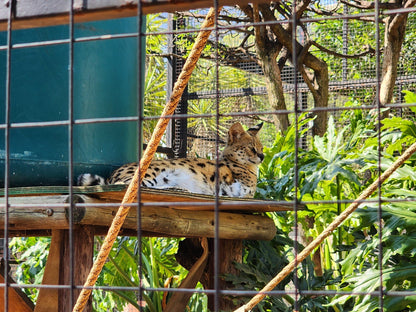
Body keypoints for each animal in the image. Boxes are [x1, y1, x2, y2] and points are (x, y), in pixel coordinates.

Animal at [79, 122, 264, 197]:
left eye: (262, 148)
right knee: (128, 186)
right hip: (150, 173)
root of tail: (112, 174)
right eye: (252, 148)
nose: (262, 157)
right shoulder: (240, 189)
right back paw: (180, 189)